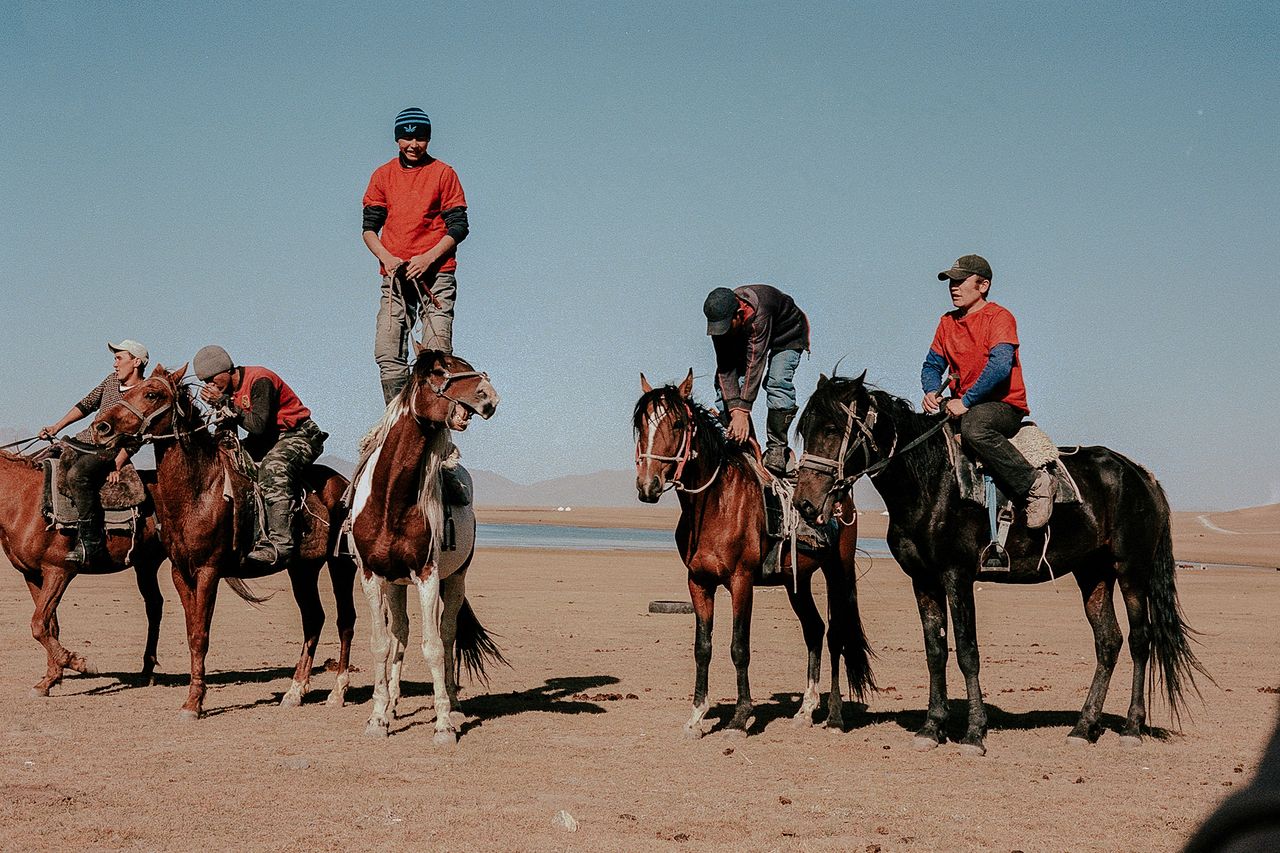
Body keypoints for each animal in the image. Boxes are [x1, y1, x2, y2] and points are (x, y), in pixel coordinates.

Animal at [0, 448, 167, 696]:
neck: (21, 501)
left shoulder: (58, 572)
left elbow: (39, 625)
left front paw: (80, 663)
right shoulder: (32, 575)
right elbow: (50, 626)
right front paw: (49, 680)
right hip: (146, 565)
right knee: (154, 606)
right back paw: (147, 670)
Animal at [91, 361, 355, 712]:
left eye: (151, 393)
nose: (102, 427)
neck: (201, 489)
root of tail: (346, 483)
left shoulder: (208, 570)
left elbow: (201, 635)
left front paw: (194, 703)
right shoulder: (180, 573)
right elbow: (192, 632)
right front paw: (193, 697)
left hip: (342, 566)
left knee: (345, 620)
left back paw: (337, 691)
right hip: (303, 569)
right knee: (313, 619)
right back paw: (295, 691)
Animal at [355, 348, 509, 742]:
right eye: (441, 371)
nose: (490, 397)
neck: (390, 500)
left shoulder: (427, 575)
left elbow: (435, 646)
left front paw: (443, 725)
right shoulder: (372, 576)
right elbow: (382, 644)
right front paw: (377, 718)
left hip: (454, 579)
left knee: (448, 631)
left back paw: (453, 704)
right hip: (396, 583)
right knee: (401, 632)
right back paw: (393, 705)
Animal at [634, 371, 875, 737]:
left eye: (677, 424)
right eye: (640, 425)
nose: (648, 485)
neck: (716, 504)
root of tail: (841, 494)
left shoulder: (741, 581)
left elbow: (739, 647)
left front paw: (740, 716)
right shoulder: (699, 583)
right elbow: (702, 648)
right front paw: (696, 717)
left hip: (838, 570)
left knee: (837, 634)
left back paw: (834, 716)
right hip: (796, 581)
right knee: (814, 629)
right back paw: (806, 709)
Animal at [788, 371, 1208, 753]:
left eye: (831, 428)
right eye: (804, 428)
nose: (804, 503)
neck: (931, 481)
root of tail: (1140, 474)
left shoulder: (957, 576)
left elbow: (967, 652)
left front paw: (974, 733)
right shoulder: (923, 579)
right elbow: (935, 651)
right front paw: (932, 727)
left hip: (1131, 570)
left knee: (1140, 640)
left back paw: (1132, 728)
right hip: (1093, 573)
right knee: (1108, 642)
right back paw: (1083, 727)